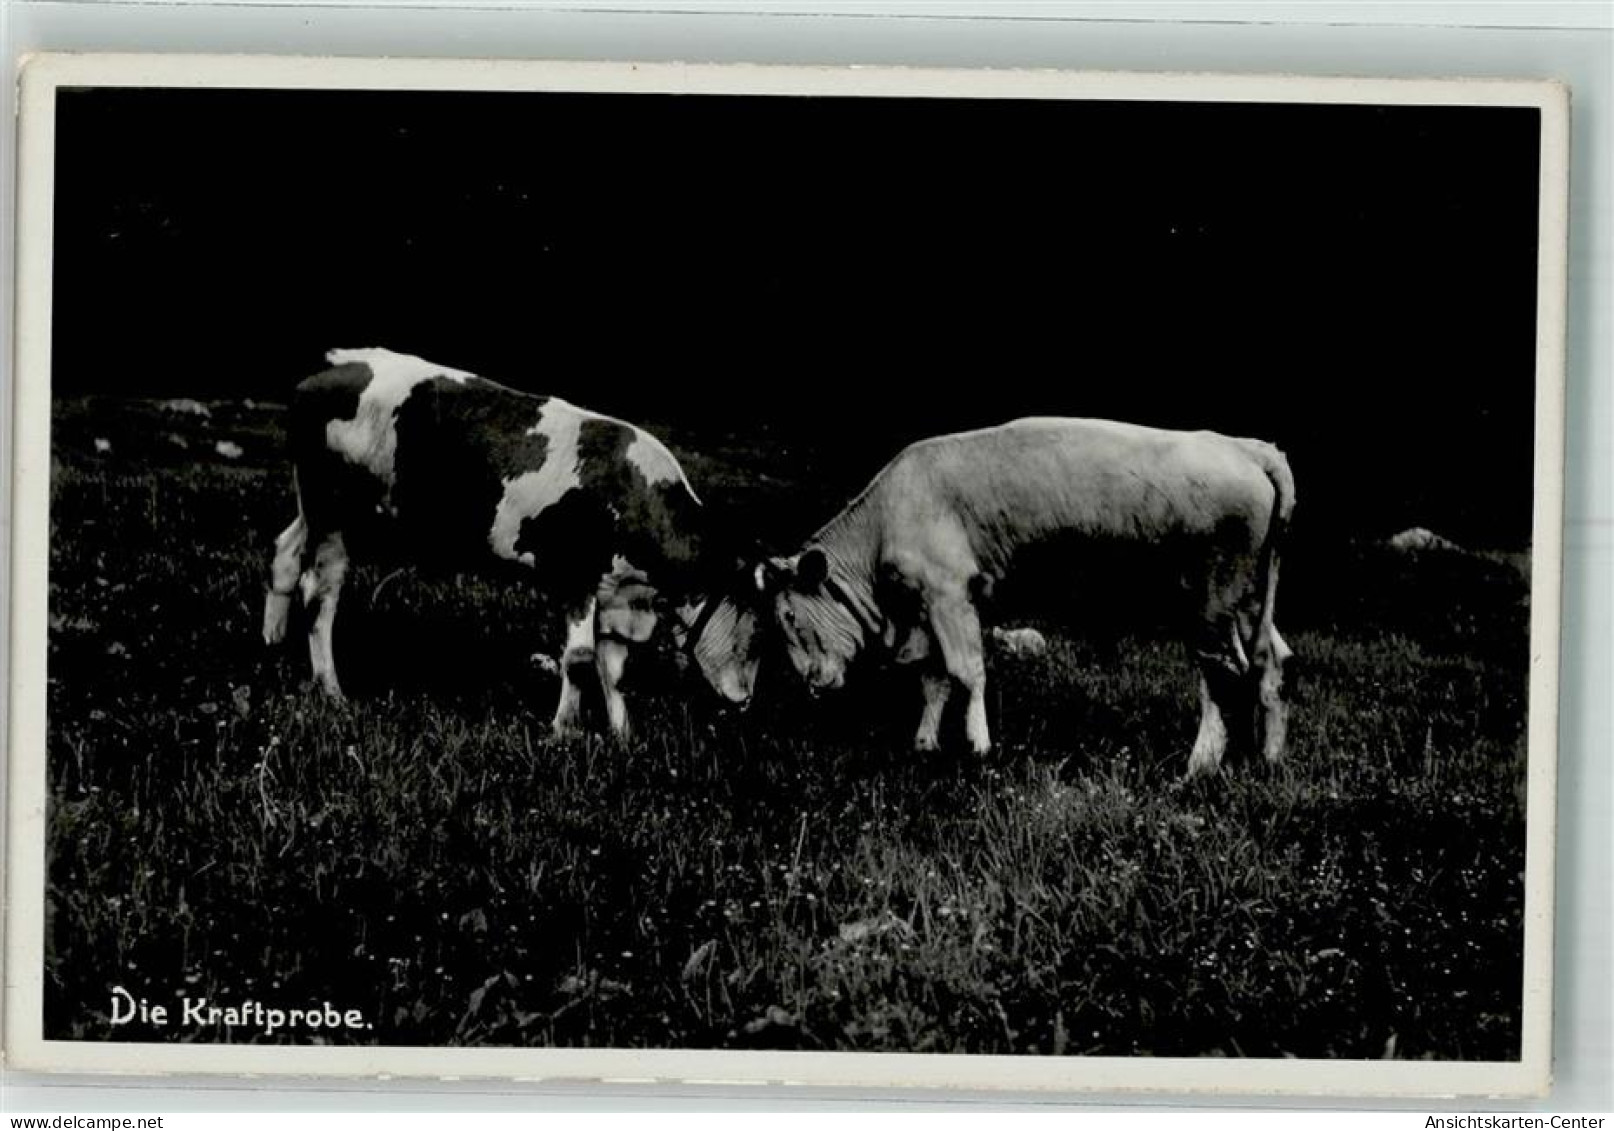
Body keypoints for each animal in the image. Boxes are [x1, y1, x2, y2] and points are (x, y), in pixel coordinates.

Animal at [264, 348, 706, 735]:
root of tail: (330, 365)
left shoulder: (616, 598)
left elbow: (613, 667)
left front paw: (622, 735)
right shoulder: (575, 572)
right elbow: (580, 658)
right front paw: (562, 733)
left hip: (314, 506)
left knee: (285, 552)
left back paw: (273, 643)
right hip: (333, 508)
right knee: (320, 591)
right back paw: (332, 690)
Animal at [697, 416, 1297, 777]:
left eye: (787, 617)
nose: (814, 683)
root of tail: (1243, 446)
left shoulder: (949, 596)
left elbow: (967, 671)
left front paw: (980, 746)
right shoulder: (931, 608)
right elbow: (934, 679)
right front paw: (925, 743)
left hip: (1211, 597)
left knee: (1219, 671)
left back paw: (1201, 762)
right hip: (1252, 599)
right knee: (1271, 661)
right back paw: (1269, 756)